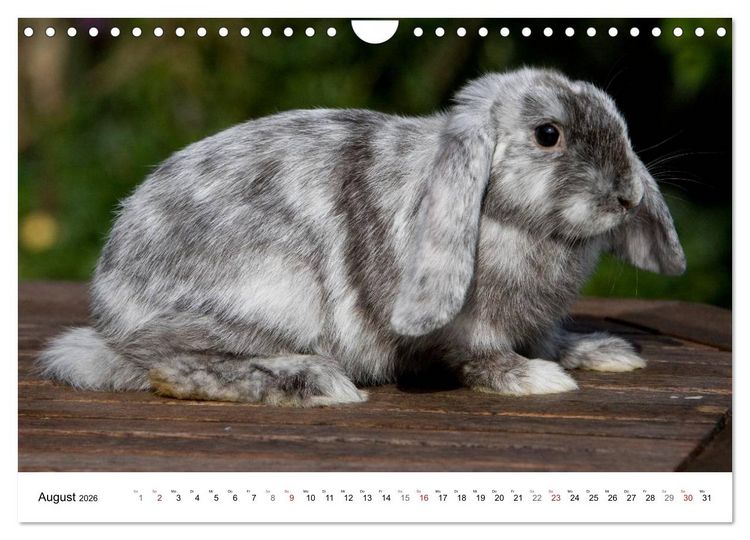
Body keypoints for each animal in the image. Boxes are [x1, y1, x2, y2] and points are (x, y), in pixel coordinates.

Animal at [37, 67, 686, 406]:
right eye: (548, 134)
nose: (628, 195)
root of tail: (109, 323)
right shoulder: (465, 329)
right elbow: (479, 359)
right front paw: (536, 380)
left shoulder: (539, 323)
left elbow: (554, 338)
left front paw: (606, 352)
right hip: (268, 298)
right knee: (169, 367)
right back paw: (320, 383)